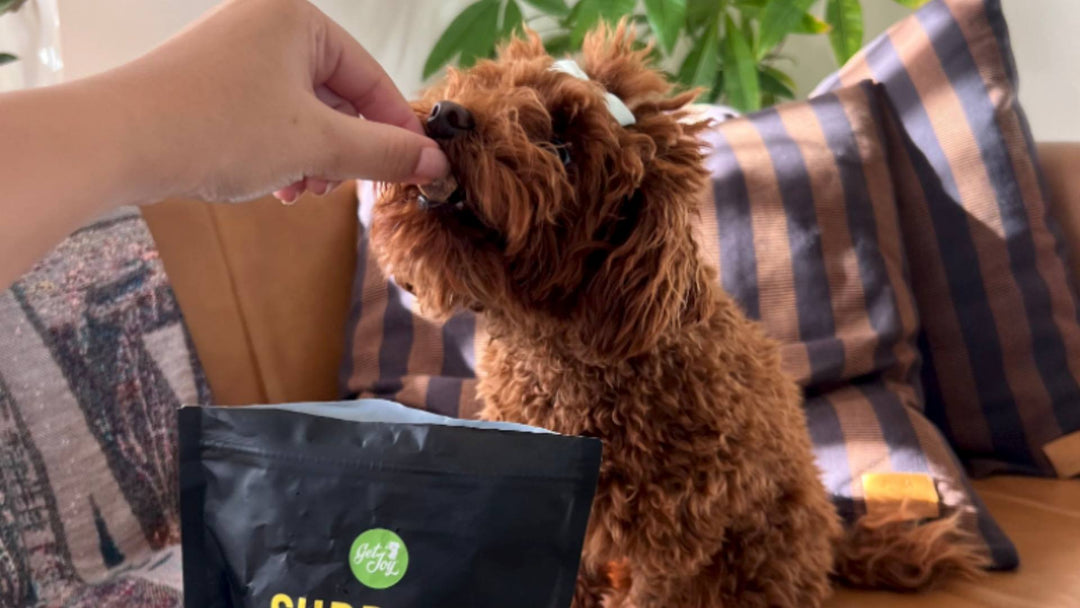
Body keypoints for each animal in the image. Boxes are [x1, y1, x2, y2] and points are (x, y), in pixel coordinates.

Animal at [373, 22, 989, 604]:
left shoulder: (673, 531)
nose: (449, 113)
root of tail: (834, 539)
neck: (559, 347)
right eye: (495, 83)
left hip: (757, 559)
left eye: (563, 149)